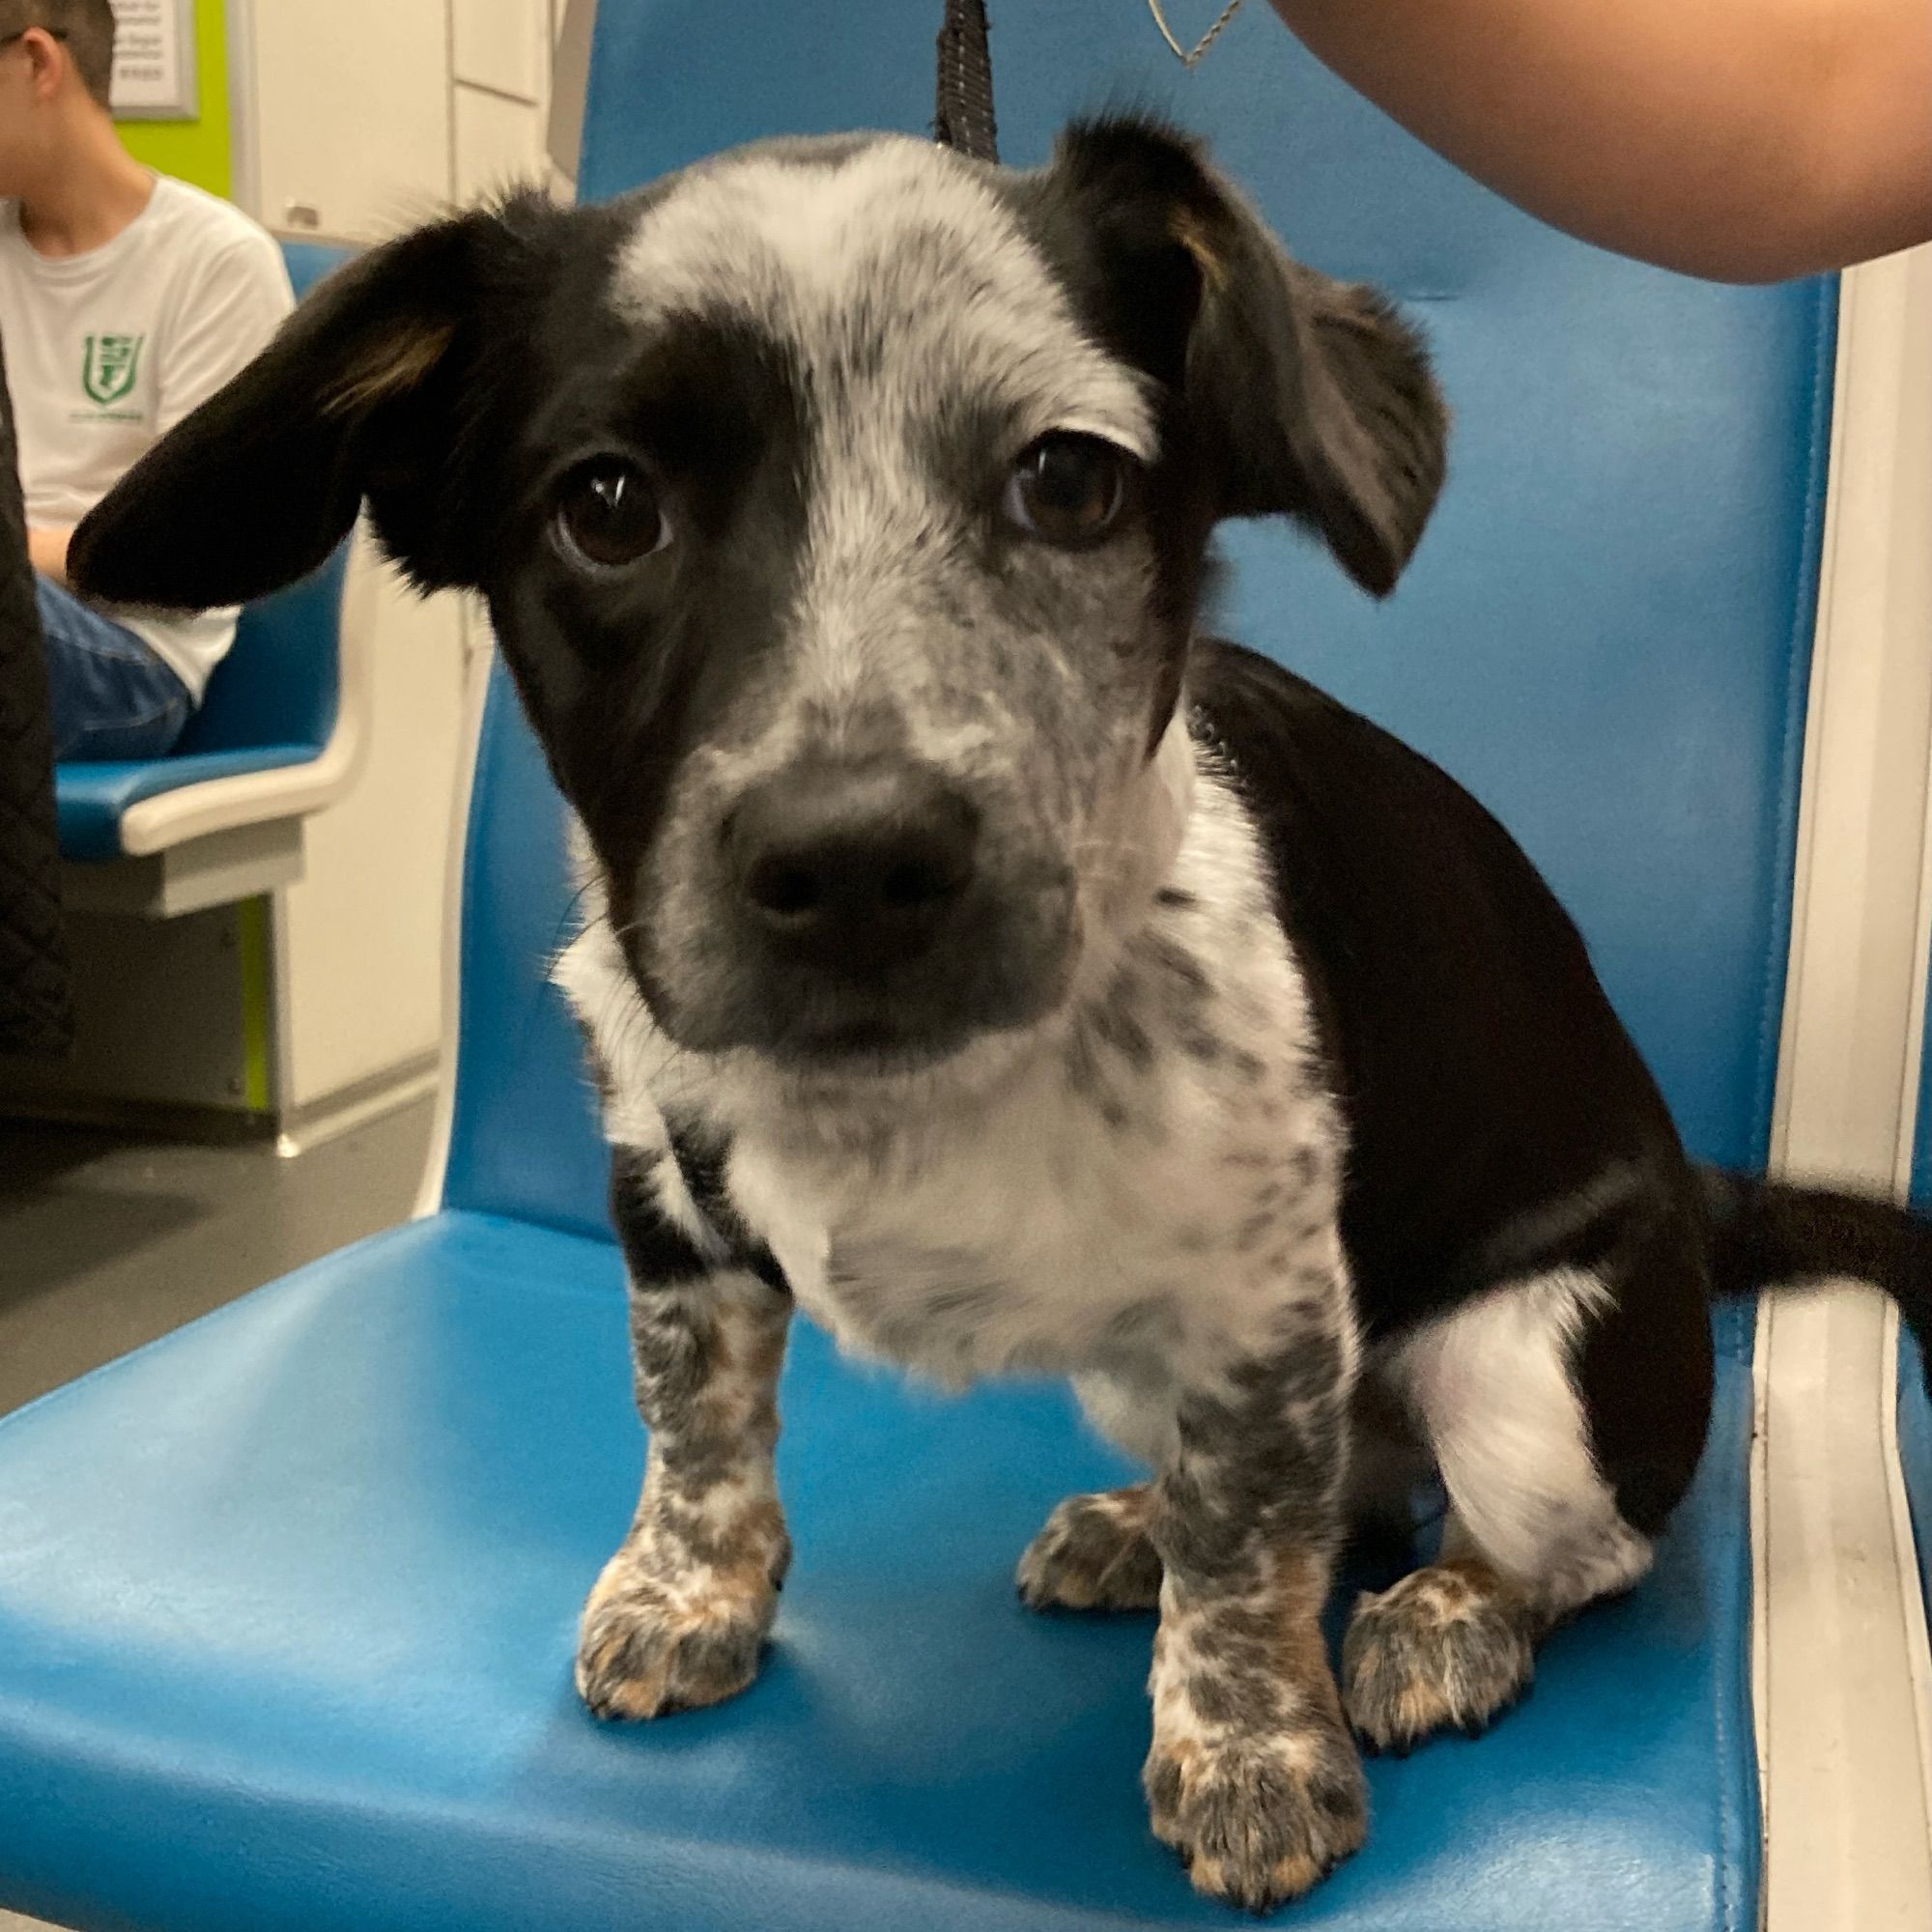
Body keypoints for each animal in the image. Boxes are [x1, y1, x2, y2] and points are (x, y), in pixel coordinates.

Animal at [71, 121, 1932, 1917]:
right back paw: (1139, 1527)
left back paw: (1447, 1614)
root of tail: (1696, 1197)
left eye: (1070, 478)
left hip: (1528, 1380)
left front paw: (1250, 1751)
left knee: (1554, 1544)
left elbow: (1249, 1556)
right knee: (1350, 1492)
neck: (913, 1091)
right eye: (604, 504)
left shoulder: (1264, 1309)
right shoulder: (671, 1210)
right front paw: (694, 1593)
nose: (853, 858)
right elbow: (697, 1428)